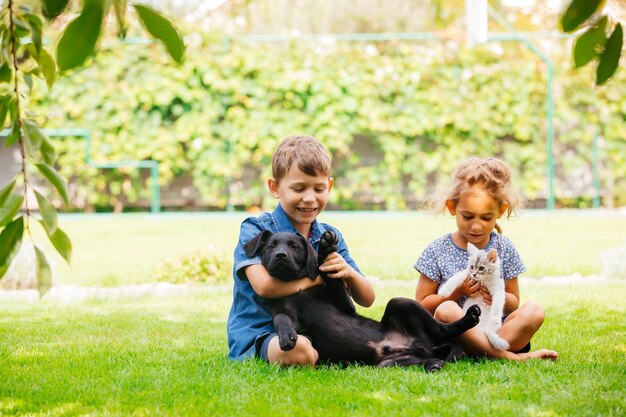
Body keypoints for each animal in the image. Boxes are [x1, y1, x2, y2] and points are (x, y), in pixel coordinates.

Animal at [244, 231, 478, 370]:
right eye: (270, 247)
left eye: (294, 246)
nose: (280, 255)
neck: (298, 289)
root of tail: (422, 345)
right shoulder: (285, 313)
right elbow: (281, 318)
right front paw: (287, 336)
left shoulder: (345, 304)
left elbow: (331, 275)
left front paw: (326, 249)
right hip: (392, 364)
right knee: (424, 358)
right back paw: (433, 364)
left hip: (400, 302)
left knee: (442, 329)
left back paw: (469, 318)